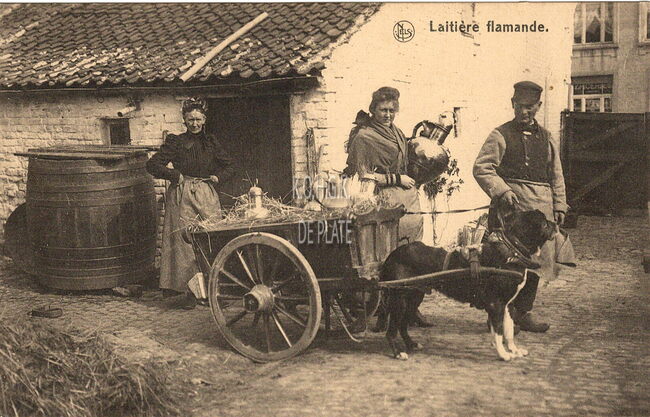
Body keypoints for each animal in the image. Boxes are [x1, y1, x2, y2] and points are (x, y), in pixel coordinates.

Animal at [379, 209, 556, 361]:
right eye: (544, 223)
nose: (556, 223)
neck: (512, 251)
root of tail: (392, 255)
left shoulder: (508, 305)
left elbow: (509, 331)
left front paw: (514, 350)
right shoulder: (496, 304)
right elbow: (499, 332)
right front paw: (503, 354)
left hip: (414, 297)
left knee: (402, 326)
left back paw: (411, 344)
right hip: (399, 300)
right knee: (391, 330)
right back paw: (398, 352)